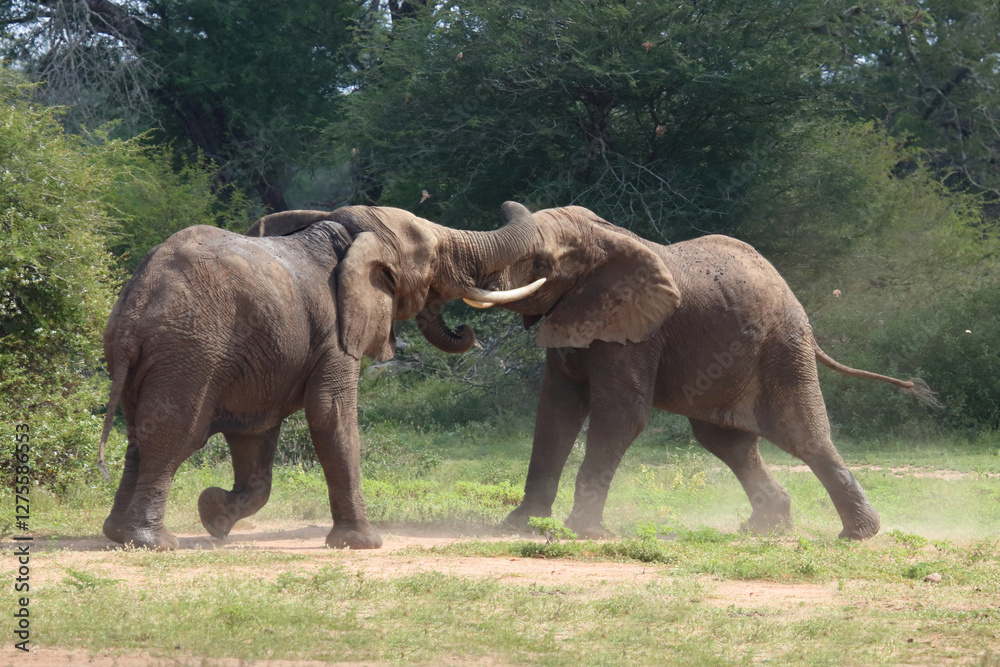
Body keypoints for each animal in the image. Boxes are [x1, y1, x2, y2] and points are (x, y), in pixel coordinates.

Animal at [97, 204, 544, 550]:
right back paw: (154, 543)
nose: (467, 330)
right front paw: (363, 543)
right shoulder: (337, 331)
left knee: (138, 436)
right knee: (174, 436)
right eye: (433, 255)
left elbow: (255, 433)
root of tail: (137, 301)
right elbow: (331, 412)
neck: (344, 233)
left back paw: (119, 535)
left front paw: (214, 516)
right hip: (190, 354)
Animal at [465, 203, 940, 540]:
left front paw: (585, 533)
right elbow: (556, 411)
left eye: (541, 265)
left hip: (783, 349)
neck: (601, 240)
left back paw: (858, 535)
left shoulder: (640, 330)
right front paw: (519, 525)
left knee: (803, 435)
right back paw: (766, 527)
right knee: (726, 441)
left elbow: (621, 414)